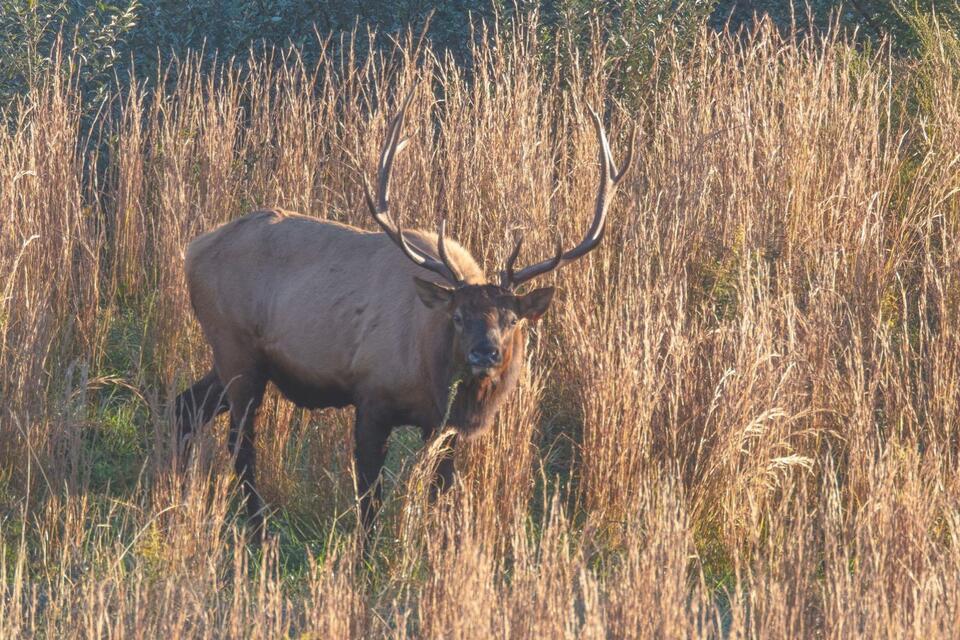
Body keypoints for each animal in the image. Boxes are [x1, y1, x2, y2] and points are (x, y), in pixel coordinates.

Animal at [174, 91, 634, 535]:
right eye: (458, 317)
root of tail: (192, 250)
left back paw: (178, 494)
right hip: (235, 349)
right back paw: (256, 528)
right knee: (239, 442)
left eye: (512, 319)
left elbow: (440, 491)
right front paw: (368, 551)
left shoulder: (443, 427)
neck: (428, 371)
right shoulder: (371, 396)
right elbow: (369, 495)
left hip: (240, 361)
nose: (484, 354)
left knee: (186, 406)